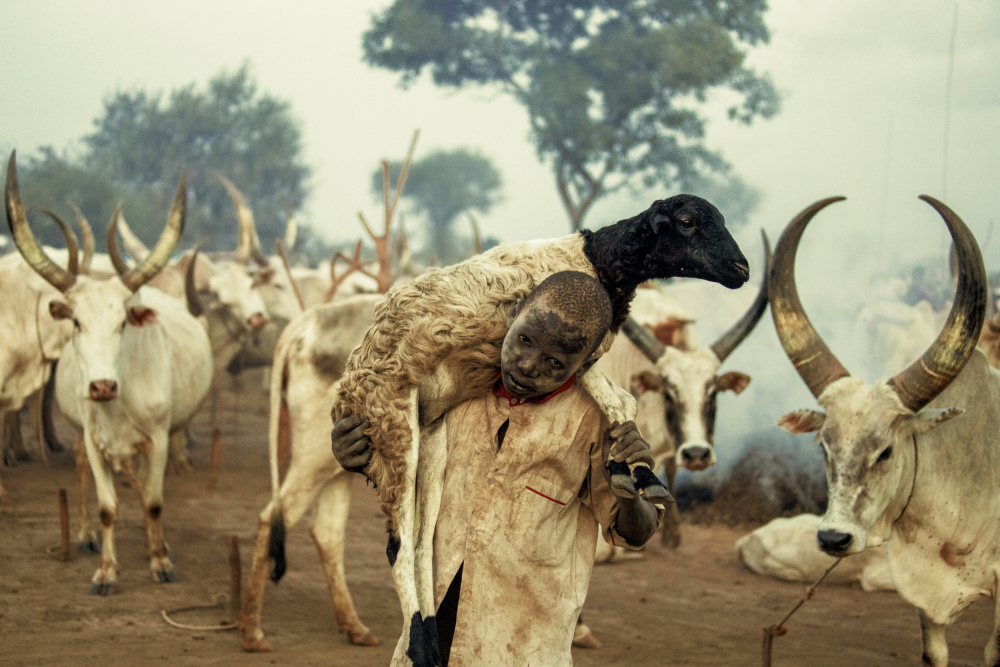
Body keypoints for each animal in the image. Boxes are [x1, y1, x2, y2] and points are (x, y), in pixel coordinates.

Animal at [4, 151, 213, 596]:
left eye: (122, 324)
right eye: (76, 322)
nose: (101, 386)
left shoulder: (157, 440)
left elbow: (153, 502)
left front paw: (161, 562)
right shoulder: (94, 440)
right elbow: (107, 507)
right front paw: (106, 571)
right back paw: (85, 536)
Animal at [332, 196, 748, 664]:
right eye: (687, 222)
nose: (742, 269)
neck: (597, 260)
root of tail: (345, 393)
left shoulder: (583, 360)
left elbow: (621, 403)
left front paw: (634, 473)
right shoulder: (585, 357)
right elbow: (618, 401)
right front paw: (636, 472)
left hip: (431, 437)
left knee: (423, 541)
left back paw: (430, 634)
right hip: (392, 425)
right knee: (398, 543)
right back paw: (421, 645)